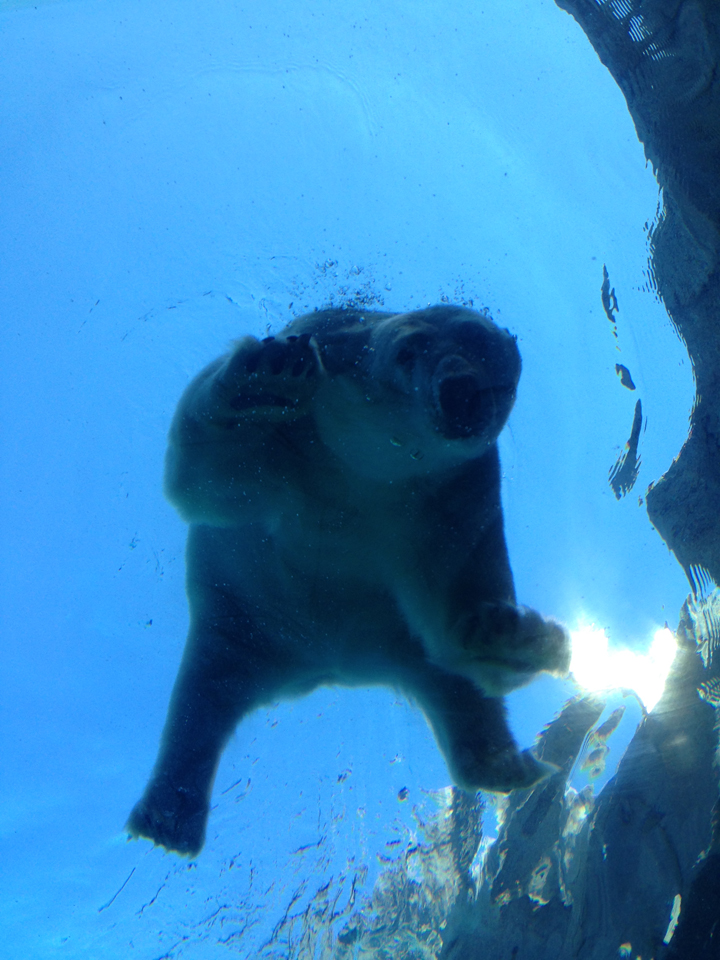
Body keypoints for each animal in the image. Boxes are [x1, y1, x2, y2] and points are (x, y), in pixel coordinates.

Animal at [127, 304, 571, 856]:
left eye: (501, 375)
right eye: (409, 351)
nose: (460, 392)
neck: (365, 462)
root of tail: (328, 667)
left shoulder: (457, 499)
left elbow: (456, 605)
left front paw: (504, 627)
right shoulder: (299, 438)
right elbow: (205, 480)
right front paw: (266, 373)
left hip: (403, 651)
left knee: (462, 685)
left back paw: (520, 734)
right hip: (242, 623)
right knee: (203, 698)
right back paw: (167, 817)